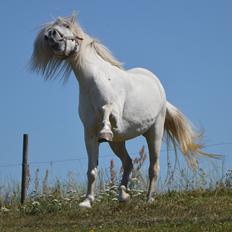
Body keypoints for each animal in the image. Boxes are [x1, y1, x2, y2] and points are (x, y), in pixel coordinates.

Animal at [30, 14, 216, 208]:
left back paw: (149, 198)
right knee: (128, 163)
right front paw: (87, 202)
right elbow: (92, 170)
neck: (94, 82)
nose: (50, 35)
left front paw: (105, 131)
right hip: (118, 141)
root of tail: (158, 86)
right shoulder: (89, 134)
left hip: (155, 131)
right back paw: (123, 195)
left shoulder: (115, 115)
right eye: (48, 32)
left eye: (66, 25)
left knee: (153, 167)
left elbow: (107, 110)